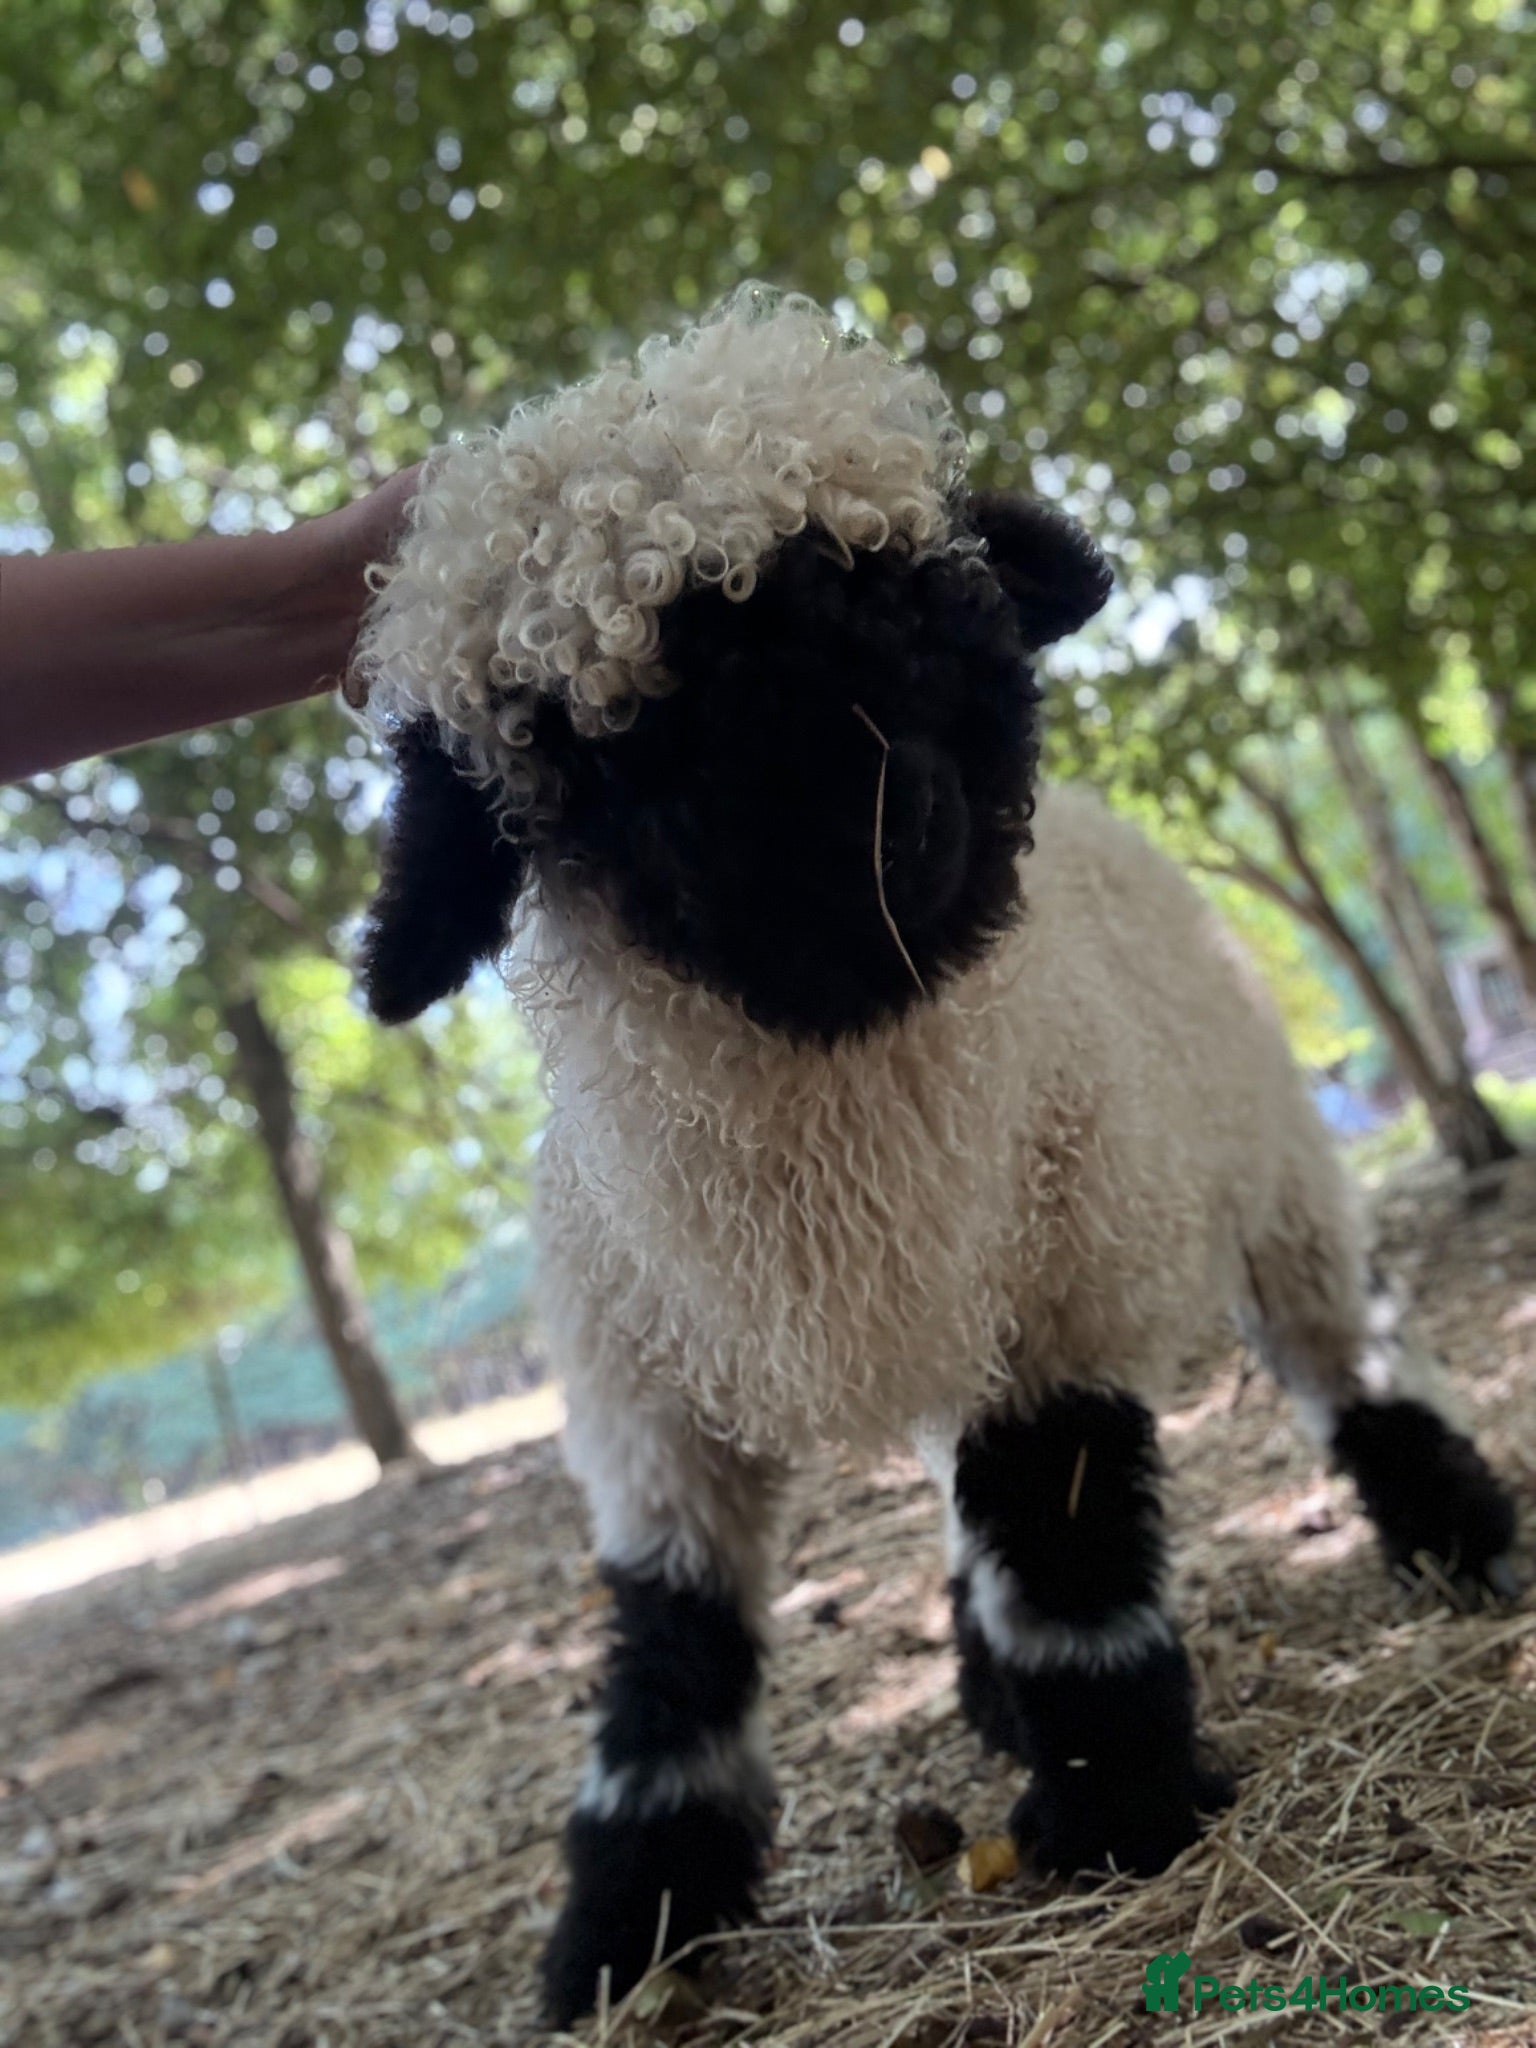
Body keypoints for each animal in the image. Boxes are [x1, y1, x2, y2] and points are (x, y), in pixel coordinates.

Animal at [351, 287, 1519, 2025]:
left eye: (926, 596)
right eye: (610, 743)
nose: (898, 831)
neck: (837, 1100)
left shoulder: (1060, 1292)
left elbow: (1072, 1552)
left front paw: (1113, 1807)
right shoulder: (649, 1404)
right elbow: (673, 1665)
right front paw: (624, 1926)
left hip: (1274, 1173)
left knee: (1349, 1354)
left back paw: (1459, 1537)